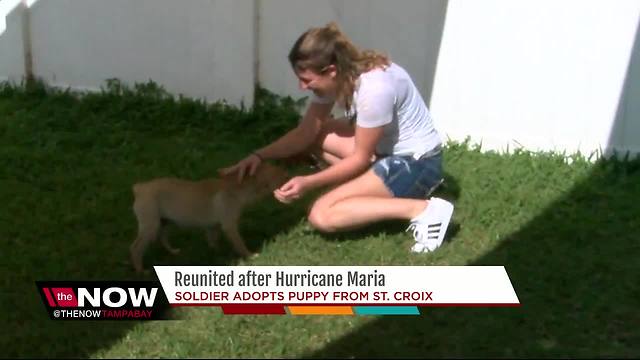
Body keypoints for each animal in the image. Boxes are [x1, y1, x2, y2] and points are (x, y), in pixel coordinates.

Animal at [129, 163, 288, 272]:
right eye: (281, 175)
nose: (289, 175)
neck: (238, 187)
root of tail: (140, 188)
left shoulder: (213, 227)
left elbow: (213, 242)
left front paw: (217, 255)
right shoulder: (229, 226)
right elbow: (240, 244)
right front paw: (249, 256)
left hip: (164, 223)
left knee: (162, 238)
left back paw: (173, 251)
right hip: (150, 227)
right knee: (136, 248)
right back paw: (141, 270)